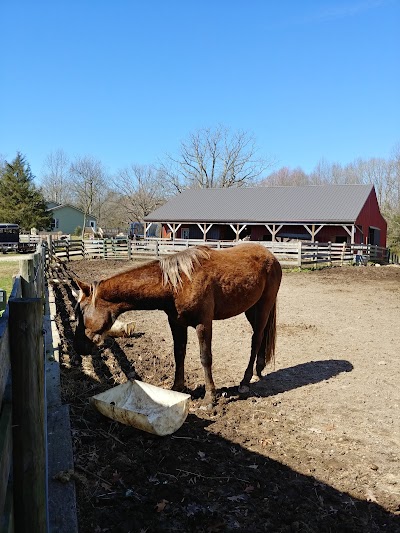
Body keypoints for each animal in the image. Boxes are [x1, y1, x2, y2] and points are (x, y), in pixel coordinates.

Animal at [73, 243, 282, 402]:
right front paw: (177, 388)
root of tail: (271, 256)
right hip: (251, 309)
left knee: (256, 339)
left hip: (263, 307)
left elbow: (205, 358)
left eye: (81, 312)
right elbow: (179, 353)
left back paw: (245, 381)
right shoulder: (176, 323)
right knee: (261, 337)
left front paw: (210, 398)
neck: (177, 284)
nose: (78, 347)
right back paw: (259, 369)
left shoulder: (203, 323)